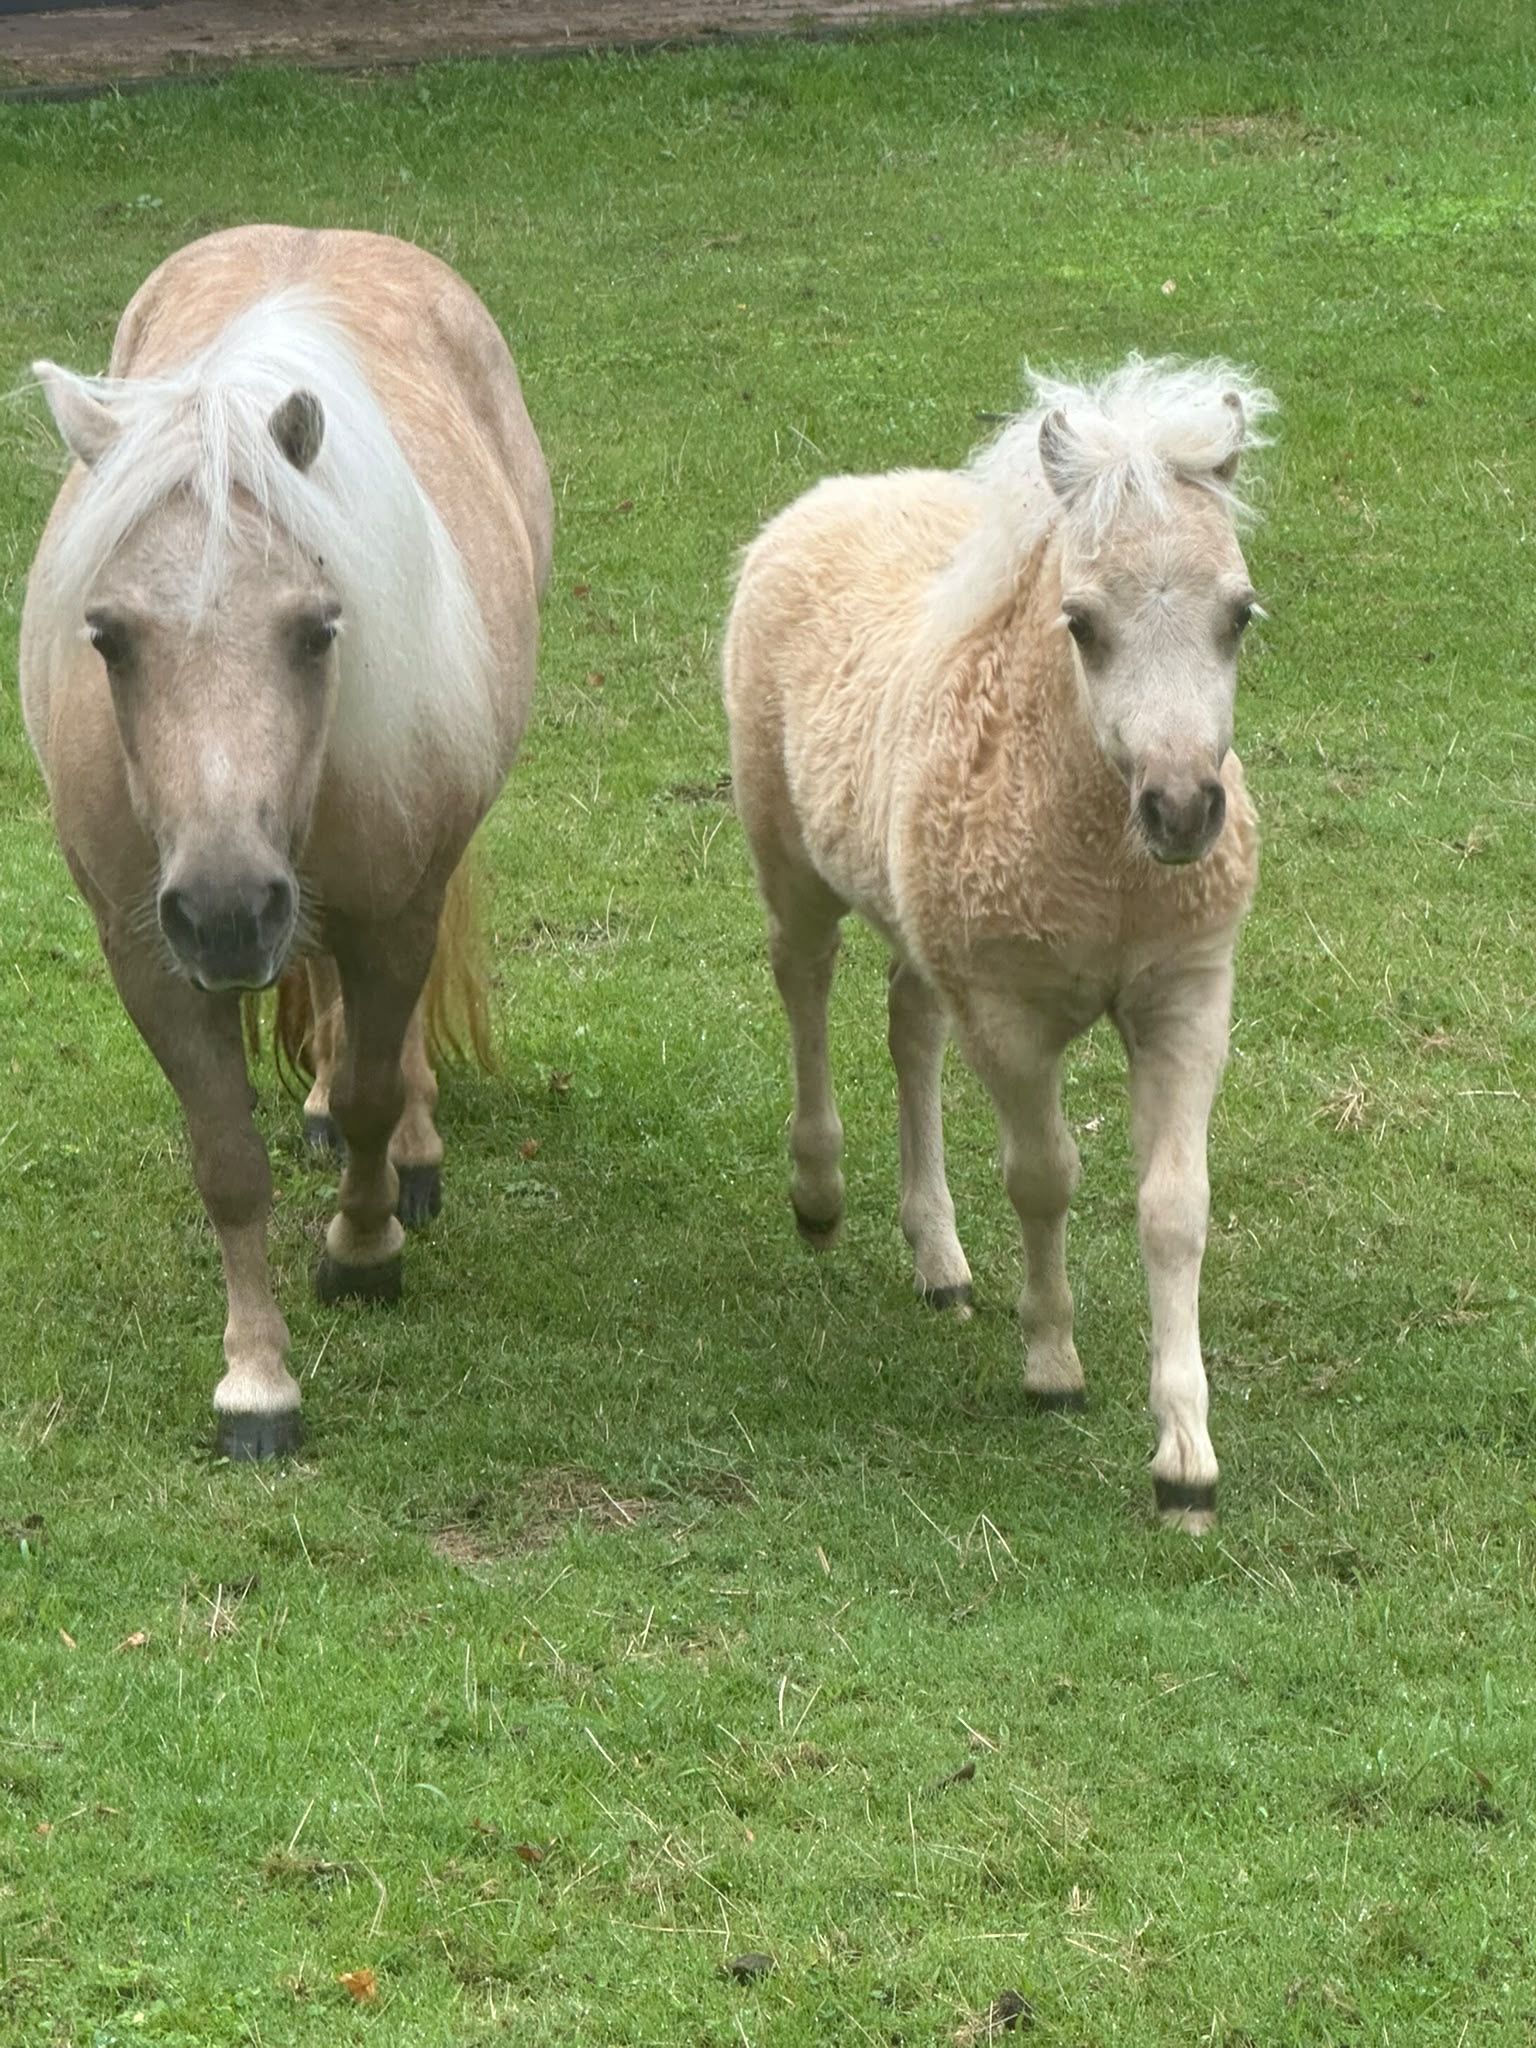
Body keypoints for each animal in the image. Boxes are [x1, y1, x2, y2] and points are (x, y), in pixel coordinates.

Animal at [20, 226, 553, 1459]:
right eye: (107, 636)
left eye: (316, 629)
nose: (224, 910)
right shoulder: (148, 955)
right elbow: (228, 1163)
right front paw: (256, 1381)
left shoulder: (395, 914)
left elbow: (370, 1093)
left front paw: (363, 1251)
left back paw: (411, 1162)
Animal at [722, 357, 1274, 1530]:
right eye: (1083, 623)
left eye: (1239, 615)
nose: (1183, 809)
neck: (1106, 871)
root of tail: (844, 490)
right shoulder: (1010, 1017)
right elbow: (1044, 1176)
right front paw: (1053, 1364)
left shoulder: (1185, 996)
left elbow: (1175, 1209)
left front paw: (1186, 1460)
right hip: (788, 857)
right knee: (804, 981)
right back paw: (819, 1194)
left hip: (927, 926)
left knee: (909, 1028)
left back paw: (939, 1258)